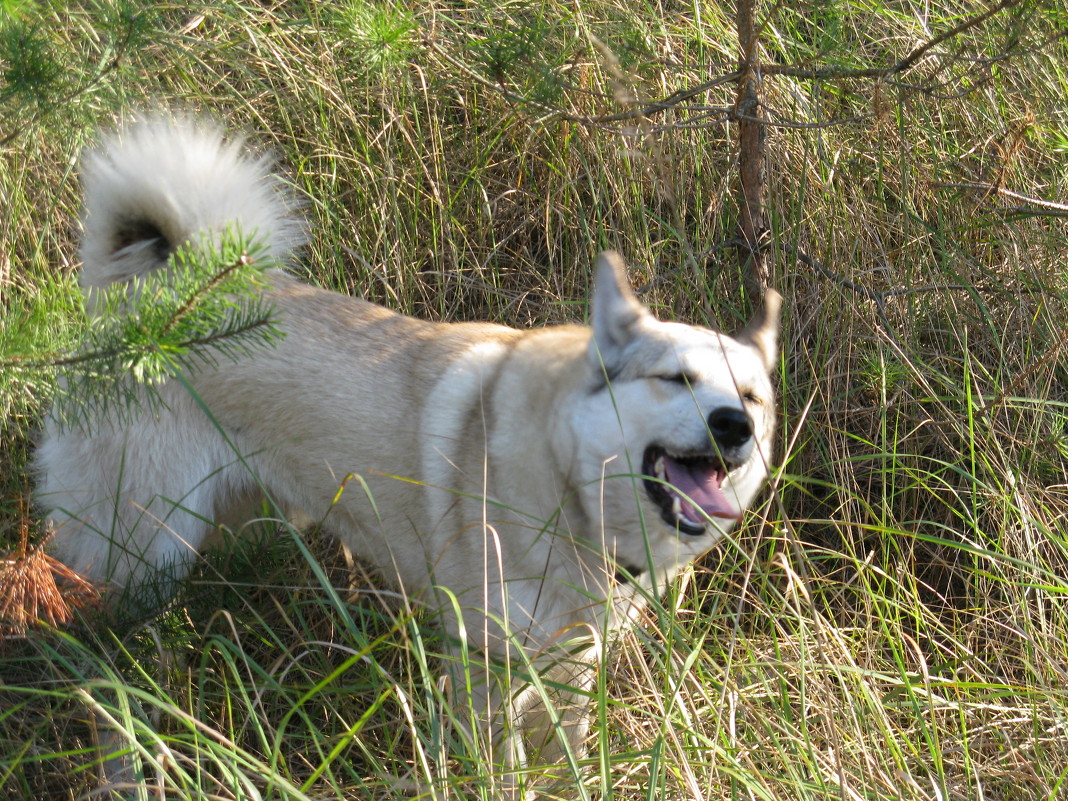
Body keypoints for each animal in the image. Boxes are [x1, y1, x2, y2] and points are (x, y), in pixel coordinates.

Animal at [35, 117, 786, 798]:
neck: (564, 480)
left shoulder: (572, 666)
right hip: (143, 558)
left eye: (751, 395)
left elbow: (565, 766)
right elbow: (504, 774)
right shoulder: (483, 666)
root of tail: (148, 305)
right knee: (104, 679)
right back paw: (125, 776)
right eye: (676, 379)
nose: (735, 425)